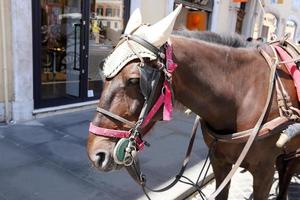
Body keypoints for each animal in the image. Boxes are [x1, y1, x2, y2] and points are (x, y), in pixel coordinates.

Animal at [85, 5, 298, 198]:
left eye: (134, 80)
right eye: (103, 71)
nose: (96, 154)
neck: (242, 93)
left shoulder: (264, 171)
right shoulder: (220, 162)